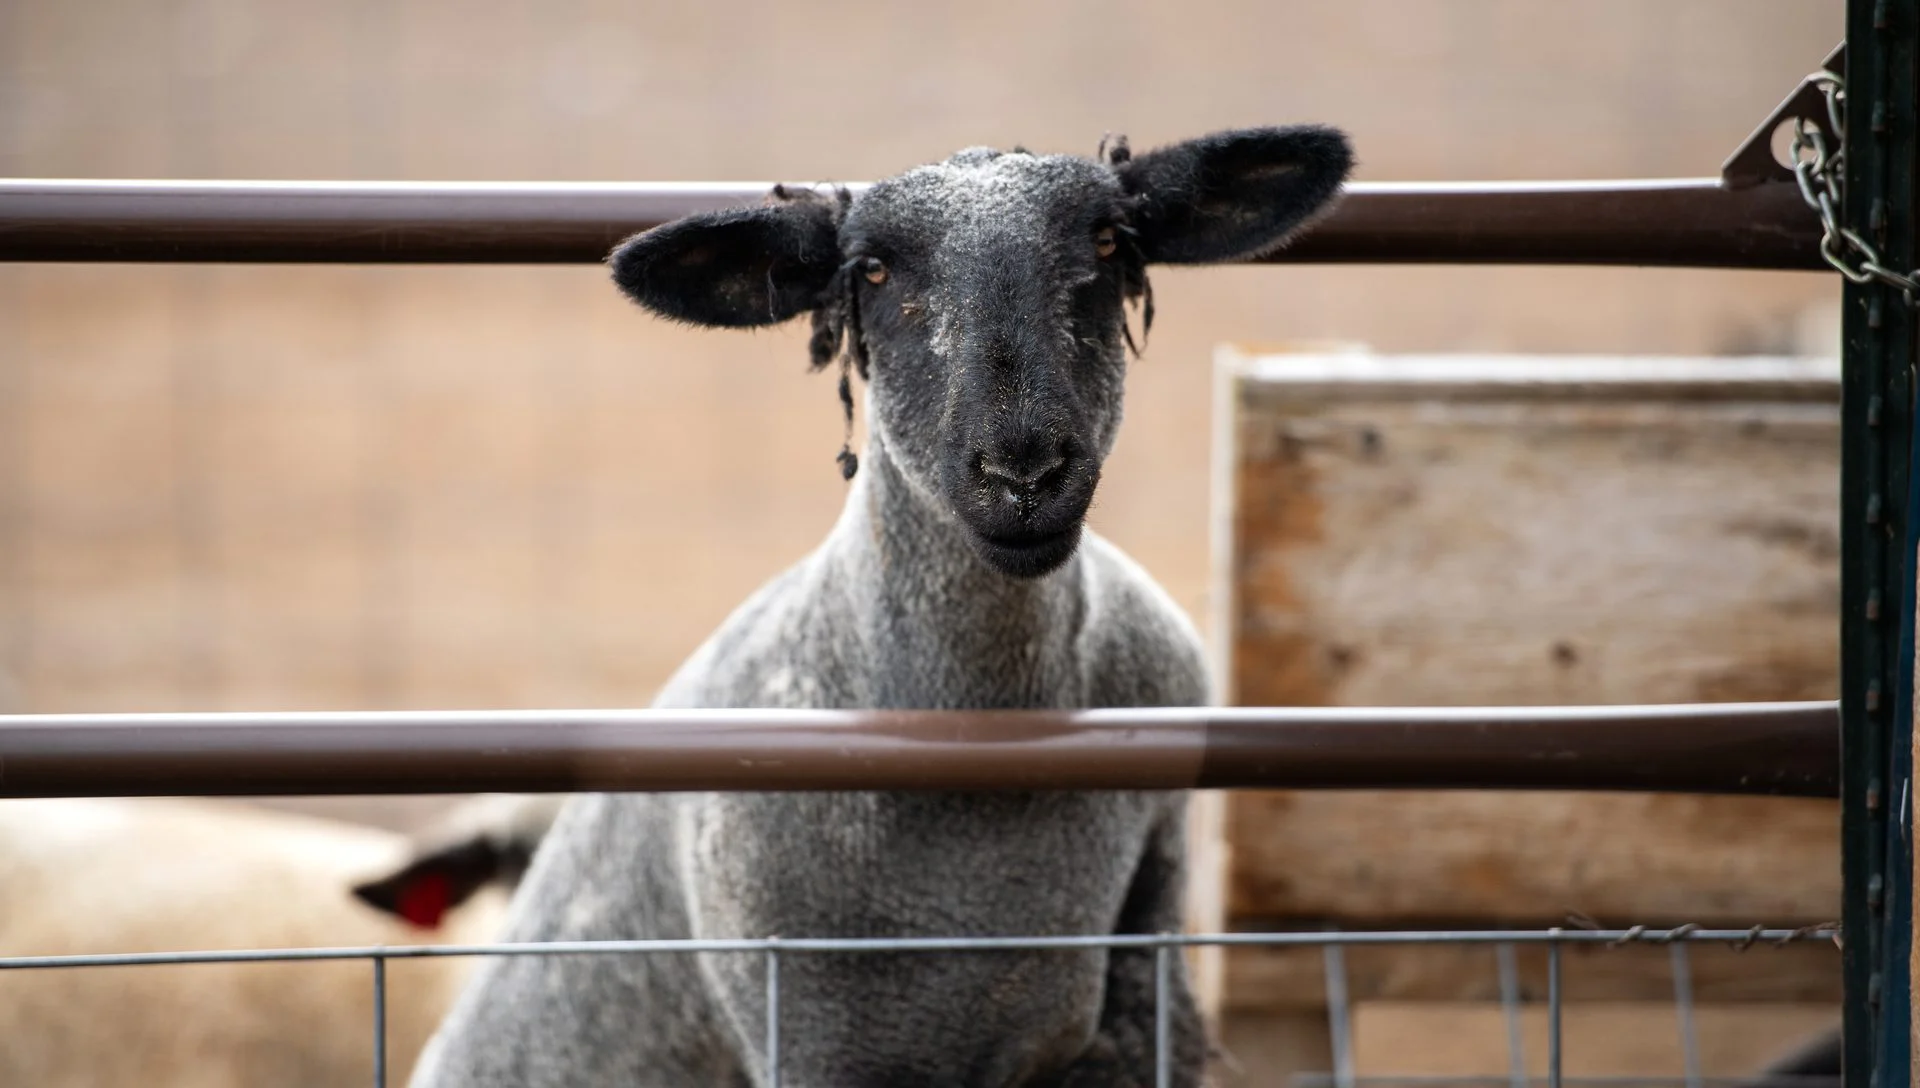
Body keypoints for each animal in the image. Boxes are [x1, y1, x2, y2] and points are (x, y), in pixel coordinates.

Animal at [412, 125, 1353, 1088]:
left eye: (1104, 242)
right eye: (870, 270)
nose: (1024, 473)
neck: (983, 730)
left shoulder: (1144, 978)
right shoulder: (810, 1027)